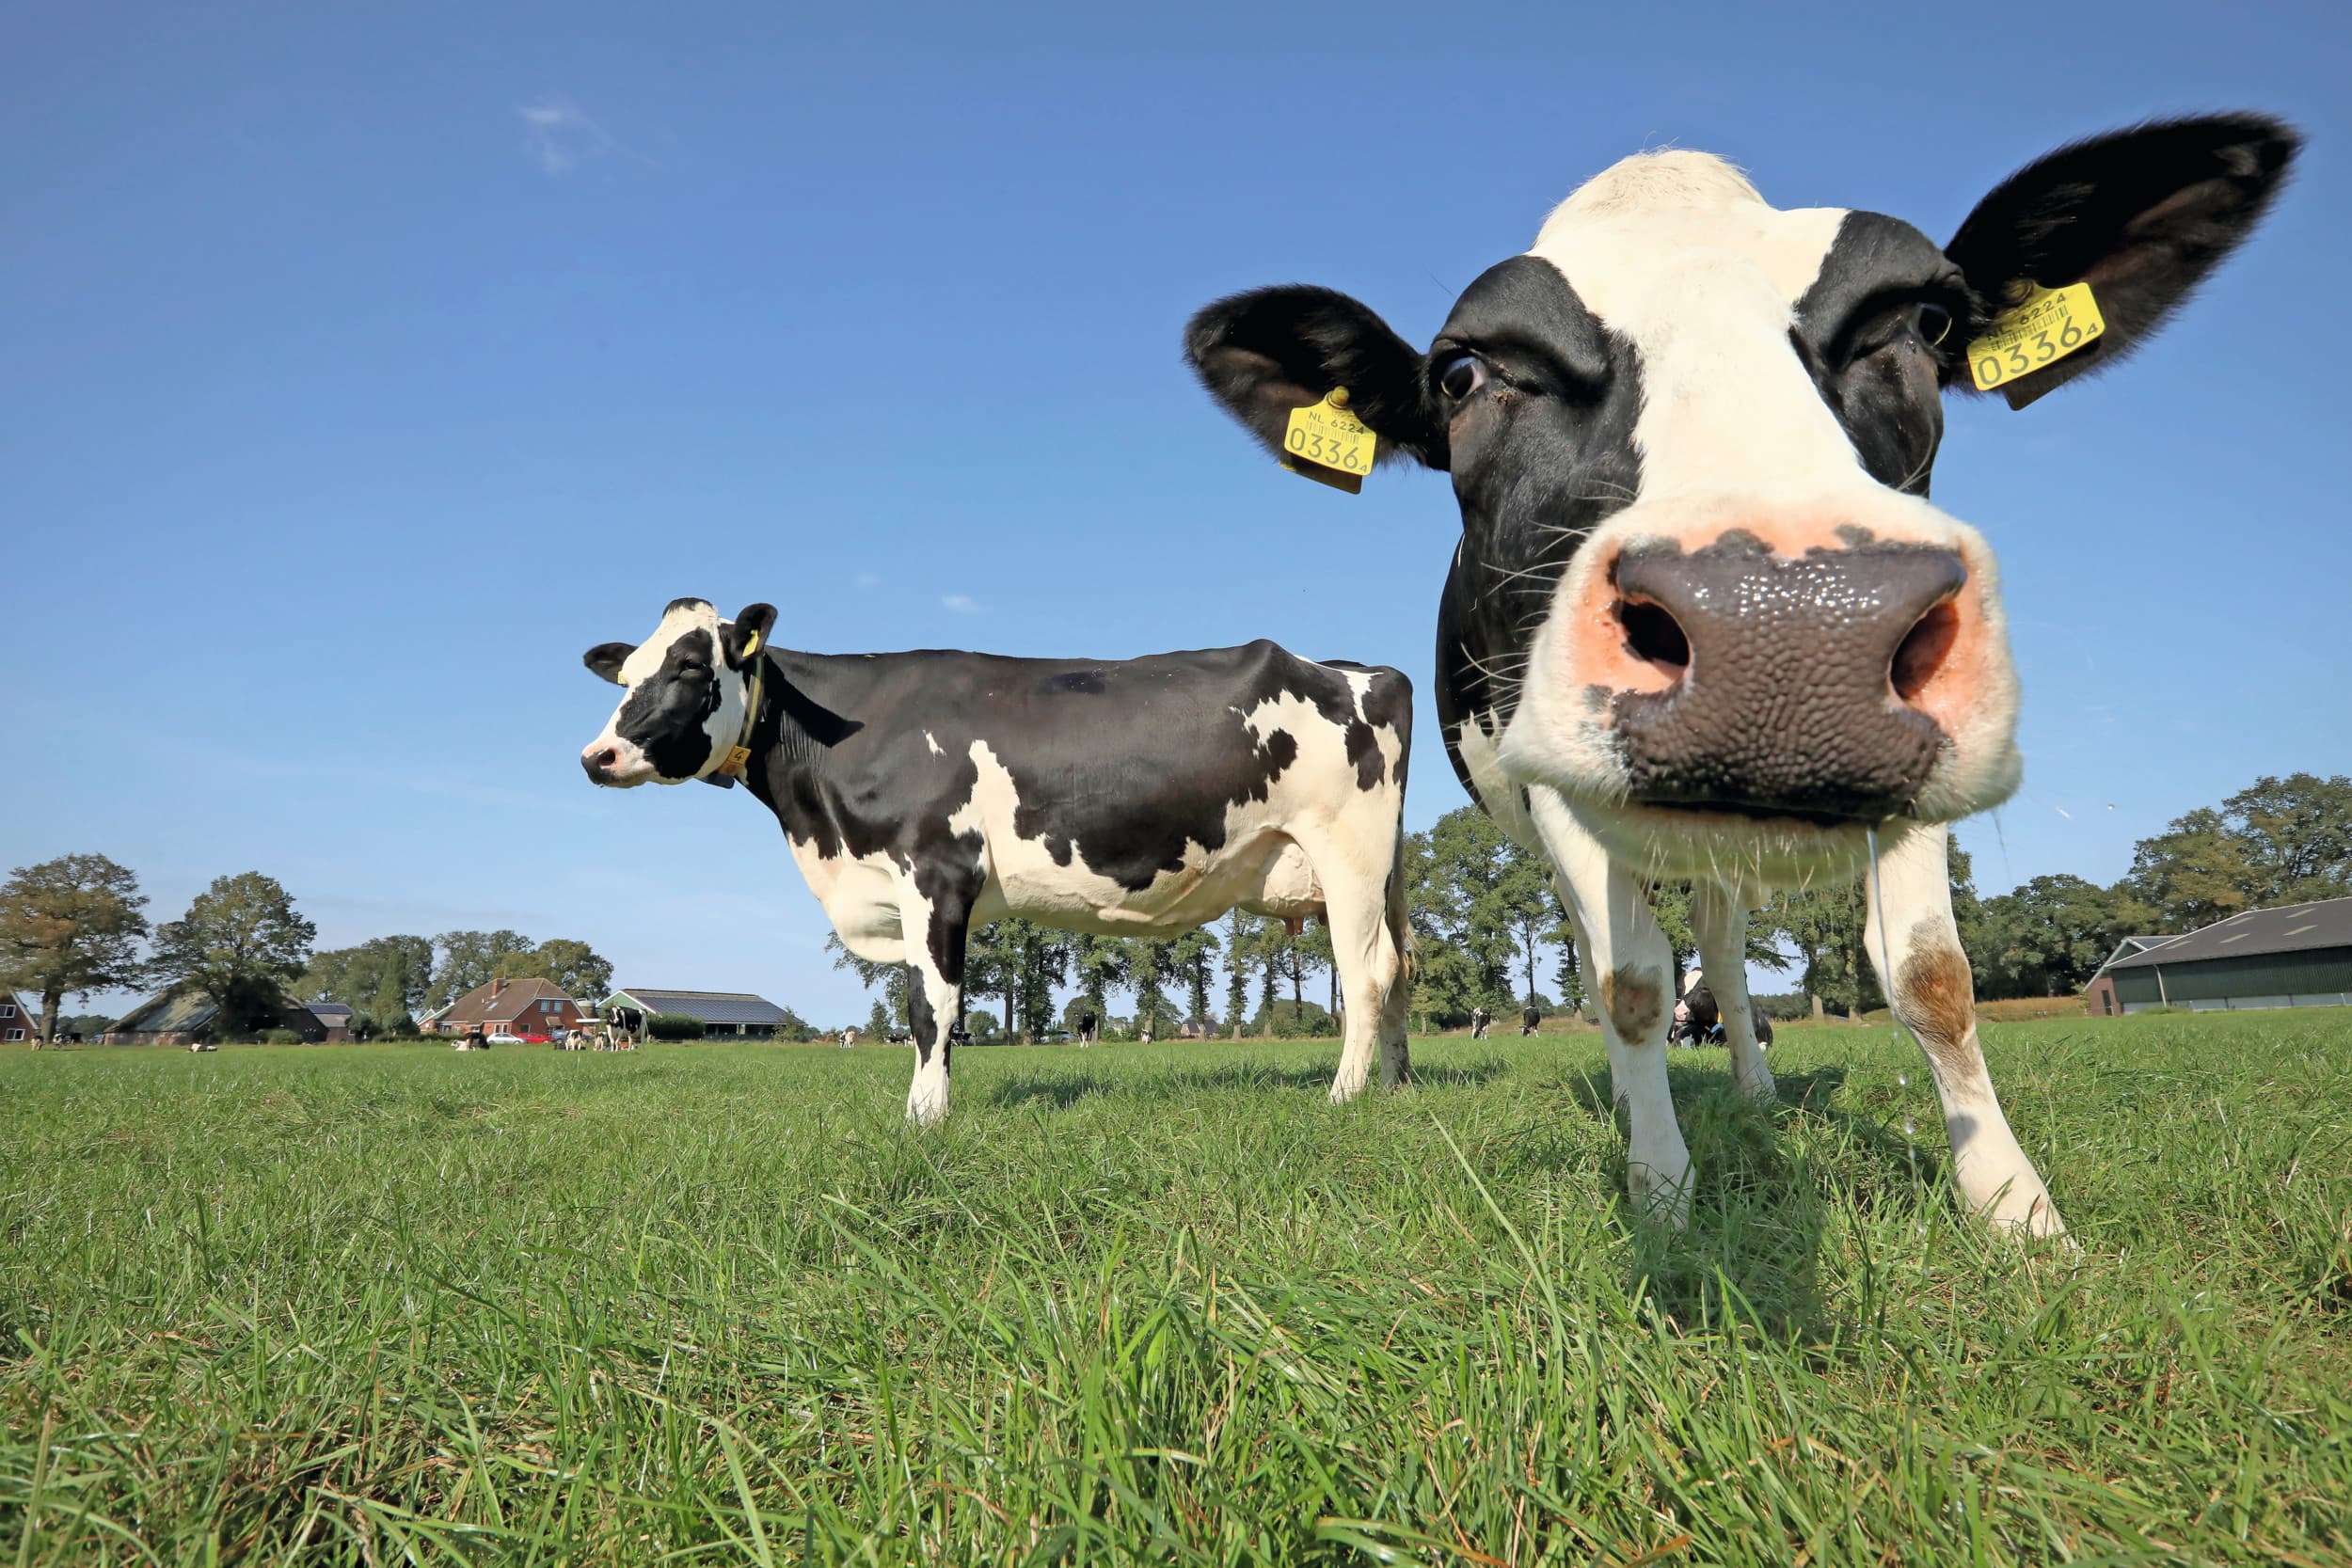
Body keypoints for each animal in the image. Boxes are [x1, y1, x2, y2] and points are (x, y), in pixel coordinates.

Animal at [578, 602, 1415, 1123]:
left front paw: (923, 1118)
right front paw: (934, 1104)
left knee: (1366, 976)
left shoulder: (936, 870)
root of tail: (1361, 670)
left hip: (1347, 854)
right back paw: (1398, 1087)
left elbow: (932, 1007)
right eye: (625, 676)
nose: (598, 755)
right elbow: (936, 1012)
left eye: (691, 667)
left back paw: (1343, 1097)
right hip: (1382, 872)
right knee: (1399, 971)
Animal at [1185, 115, 2298, 1238]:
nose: (1787, 628)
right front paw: (1663, 1190)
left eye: (1928, 319)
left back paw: (1754, 1090)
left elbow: (1932, 975)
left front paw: (2016, 1210)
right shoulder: (1556, 787)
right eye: (1462, 374)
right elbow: (1630, 981)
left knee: (1719, 950)